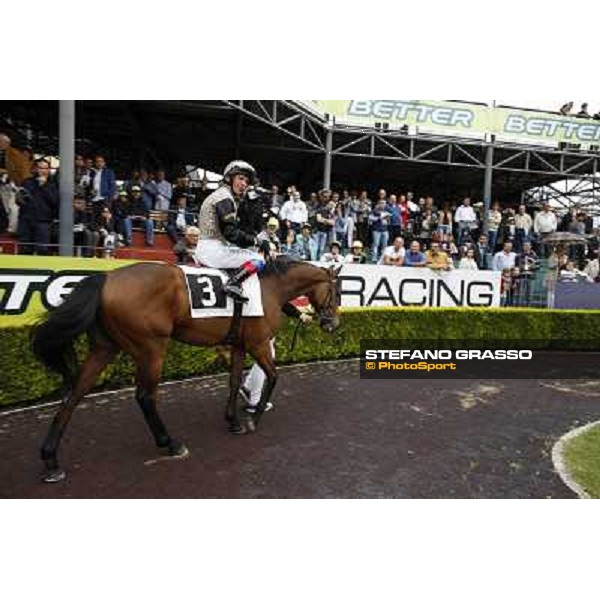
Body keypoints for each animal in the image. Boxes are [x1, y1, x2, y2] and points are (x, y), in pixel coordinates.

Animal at [32, 258, 340, 482]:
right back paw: (169, 443)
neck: (270, 289)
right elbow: (274, 376)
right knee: (144, 396)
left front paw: (234, 421)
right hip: (151, 348)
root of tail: (106, 277)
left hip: (105, 348)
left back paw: (50, 459)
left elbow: (233, 380)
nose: (333, 324)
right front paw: (253, 417)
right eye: (337, 292)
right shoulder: (259, 343)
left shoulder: (240, 344)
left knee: (74, 394)